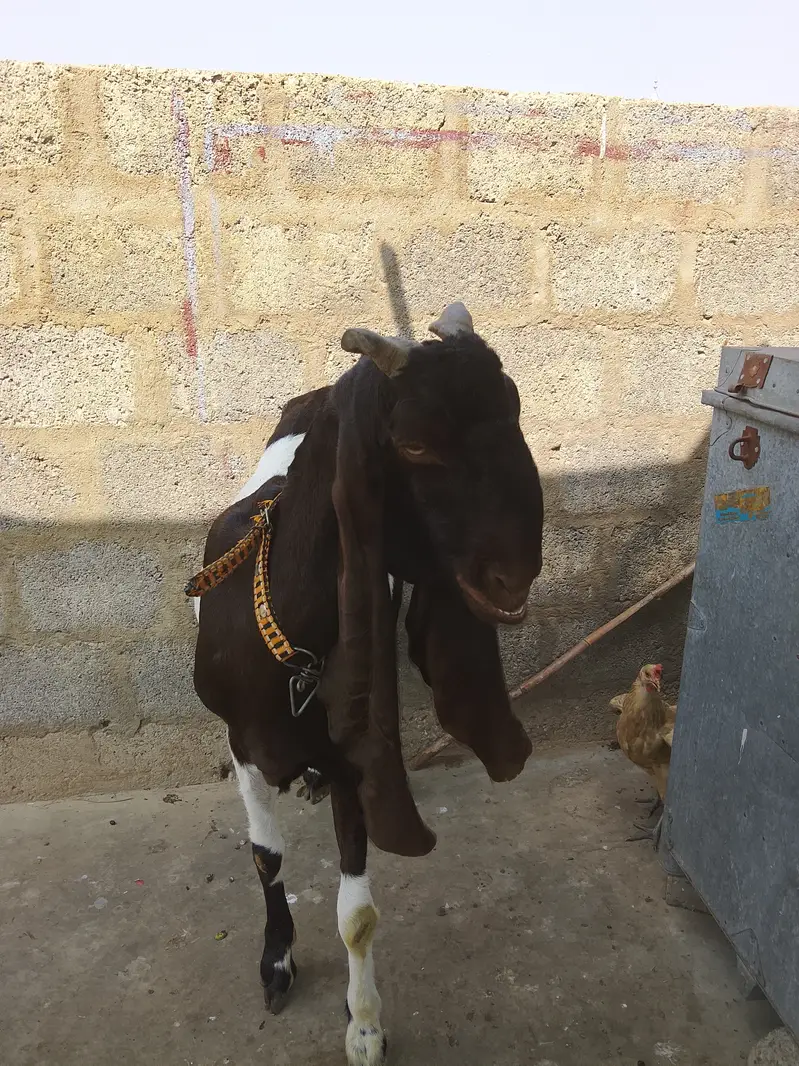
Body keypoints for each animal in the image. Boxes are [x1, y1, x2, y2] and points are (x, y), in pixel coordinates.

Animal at [191, 303, 544, 1066]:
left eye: (514, 409)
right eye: (411, 443)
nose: (513, 576)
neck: (289, 650)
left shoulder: (356, 751)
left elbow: (357, 915)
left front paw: (364, 1026)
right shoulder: (240, 742)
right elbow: (266, 855)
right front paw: (277, 962)